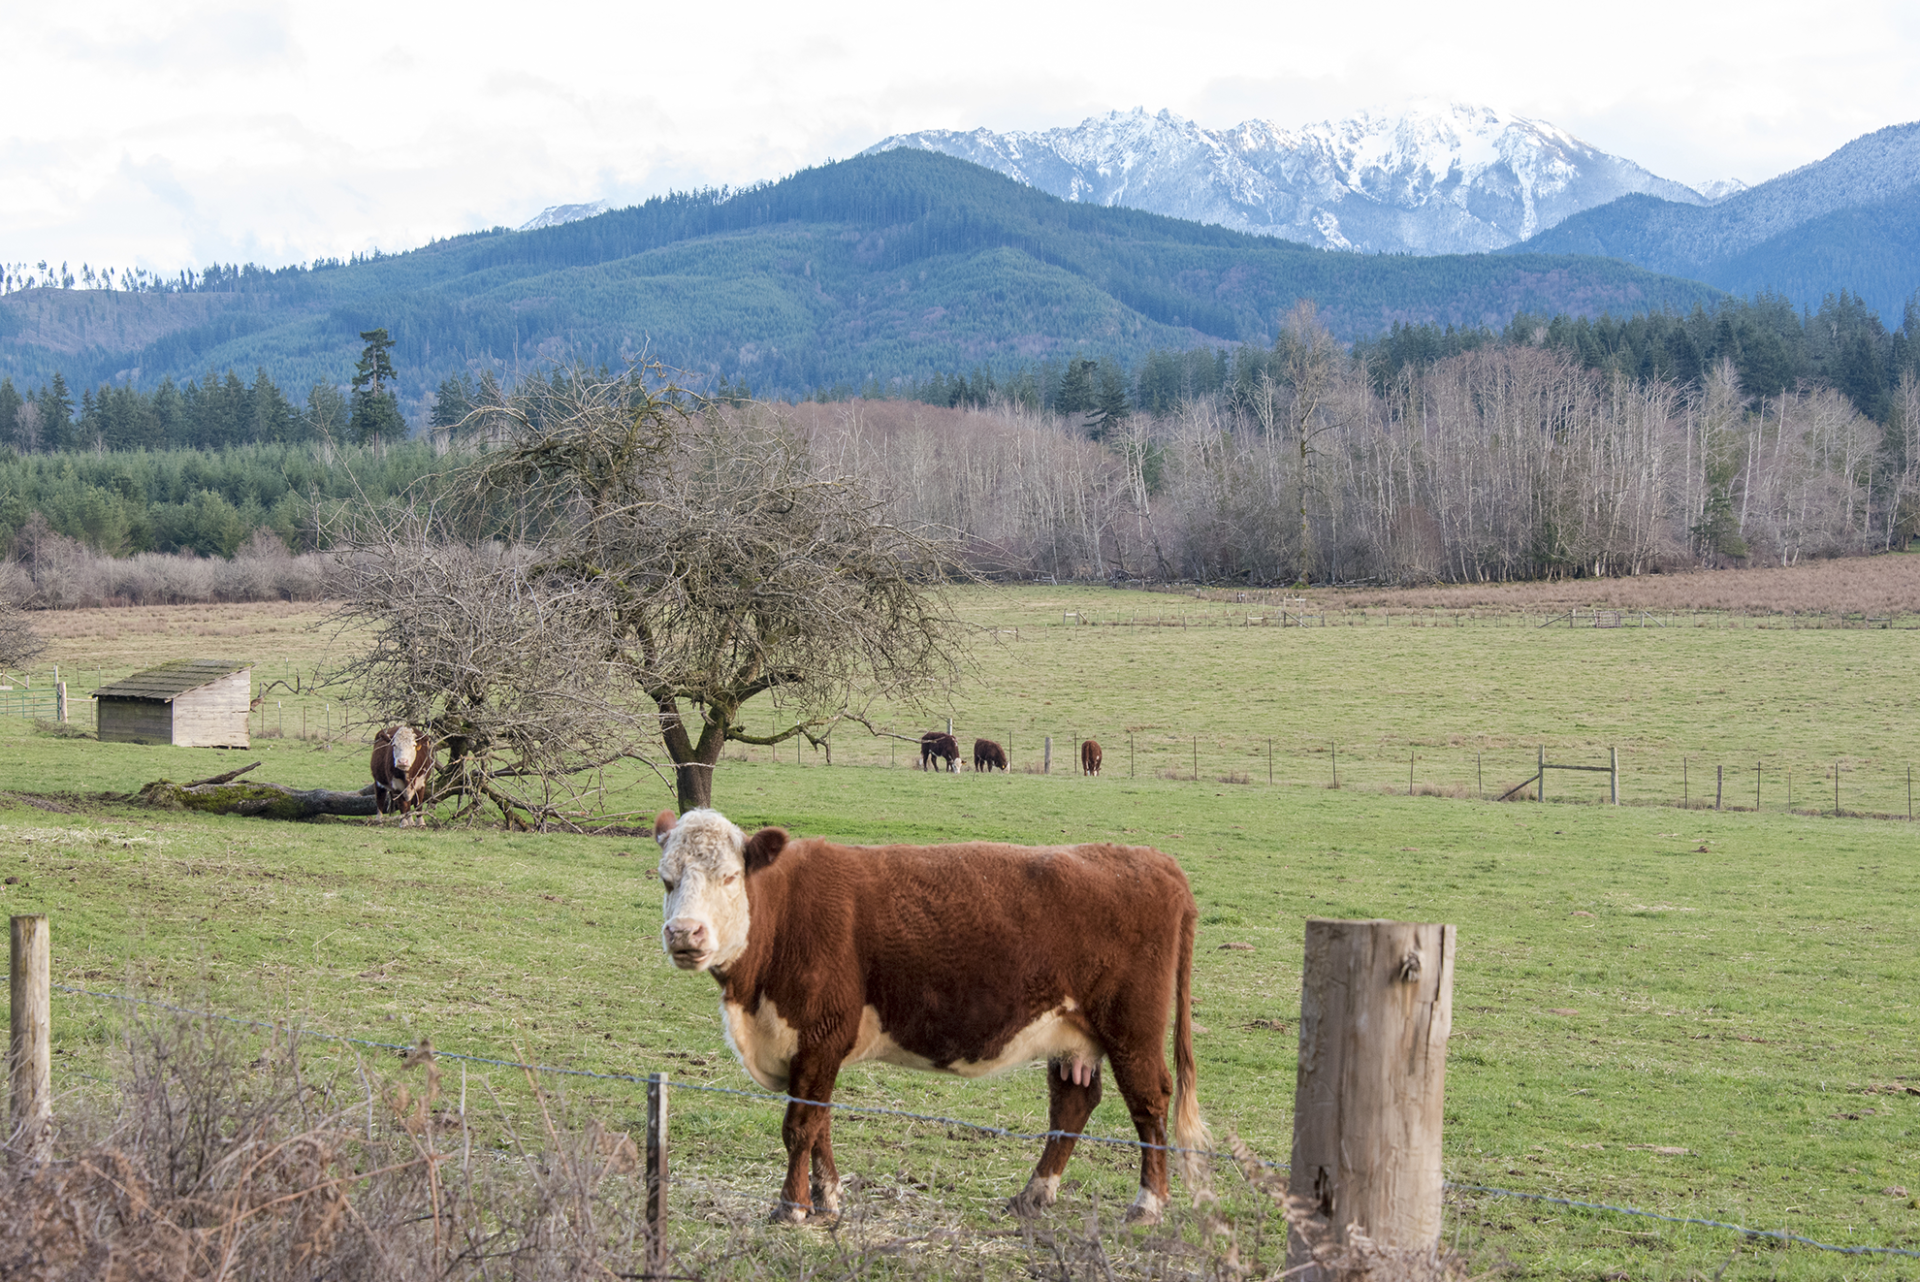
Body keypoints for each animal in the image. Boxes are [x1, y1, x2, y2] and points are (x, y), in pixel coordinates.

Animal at [652, 809, 1205, 1220]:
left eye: (729, 877)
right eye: (666, 879)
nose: (684, 933)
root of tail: (1153, 861)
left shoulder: (820, 1034)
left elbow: (800, 1126)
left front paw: (792, 1208)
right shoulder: (809, 1048)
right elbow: (820, 1123)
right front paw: (828, 1199)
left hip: (1132, 1028)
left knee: (1150, 1101)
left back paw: (1147, 1205)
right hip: (1071, 1033)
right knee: (1073, 1103)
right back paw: (1033, 1195)